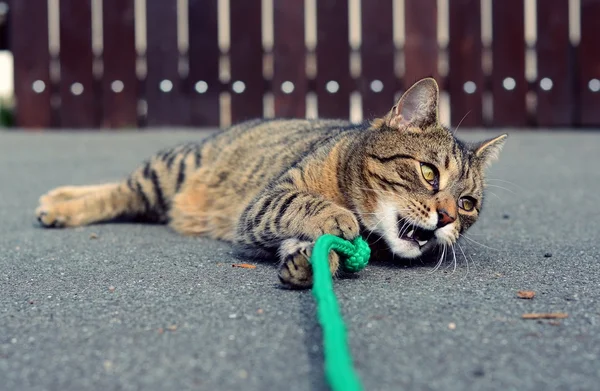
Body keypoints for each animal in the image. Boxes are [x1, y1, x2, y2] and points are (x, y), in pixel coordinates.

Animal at [35, 79, 506, 288]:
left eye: (467, 204)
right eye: (429, 174)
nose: (446, 218)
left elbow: (309, 246)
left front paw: (310, 263)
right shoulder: (266, 202)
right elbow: (302, 204)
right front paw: (335, 217)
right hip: (171, 171)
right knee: (120, 190)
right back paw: (59, 205)